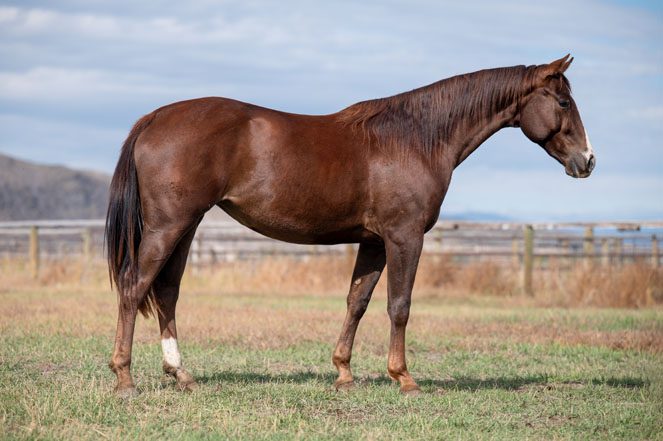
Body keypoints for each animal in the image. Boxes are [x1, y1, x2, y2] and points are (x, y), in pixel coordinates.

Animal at [106, 54, 595, 397]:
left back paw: (181, 374)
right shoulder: (404, 237)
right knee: (133, 287)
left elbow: (357, 302)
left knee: (166, 292)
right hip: (169, 226)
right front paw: (404, 378)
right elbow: (400, 305)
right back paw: (125, 378)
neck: (414, 138)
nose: (587, 161)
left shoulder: (374, 242)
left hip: (185, 227)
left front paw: (343, 372)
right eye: (564, 101)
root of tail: (155, 117)